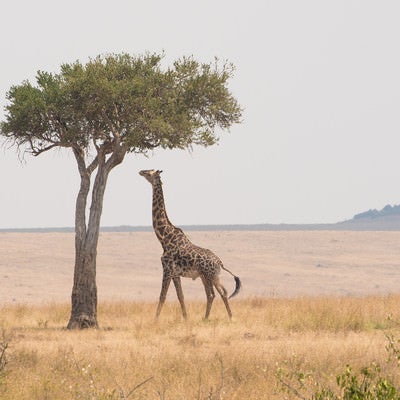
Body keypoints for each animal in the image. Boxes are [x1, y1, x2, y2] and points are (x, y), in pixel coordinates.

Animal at [139, 169, 242, 318]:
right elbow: (180, 296)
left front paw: (155, 320)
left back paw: (211, 318)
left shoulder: (167, 269)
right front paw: (186, 318)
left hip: (208, 275)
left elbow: (162, 296)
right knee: (221, 293)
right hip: (212, 276)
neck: (164, 238)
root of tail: (220, 262)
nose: (140, 171)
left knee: (213, 294)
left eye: (149, 172)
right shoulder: (175, 273)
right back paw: (225, 317)